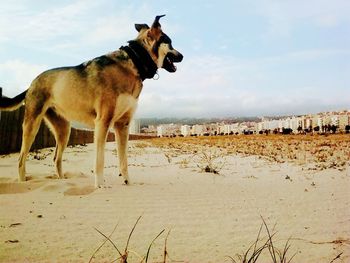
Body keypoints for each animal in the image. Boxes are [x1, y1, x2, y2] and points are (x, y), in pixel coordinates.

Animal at [0, 14, 183, 188]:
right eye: (170, 42)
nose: (182, 56)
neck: (135, 61)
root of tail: (31, 83)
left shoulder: (123, 125)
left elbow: (124, 160)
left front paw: (128, 182)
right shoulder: (103, 122)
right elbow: (100, 160)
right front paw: (100, 185)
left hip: (64, 129)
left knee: (56, 158)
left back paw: (62, 180)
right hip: (32, 124)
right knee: (21, 158)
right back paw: (22, 181)